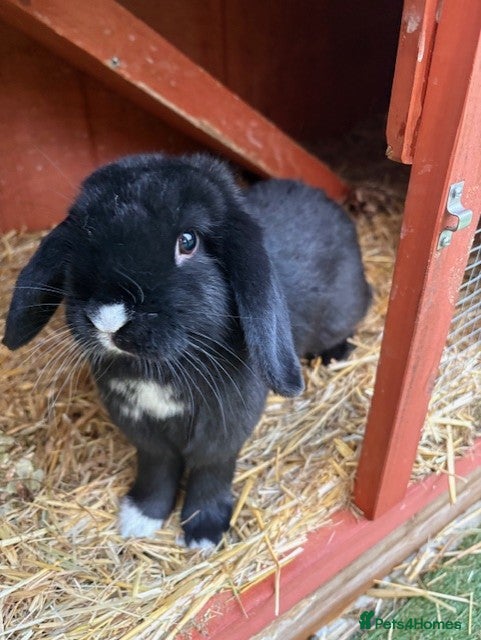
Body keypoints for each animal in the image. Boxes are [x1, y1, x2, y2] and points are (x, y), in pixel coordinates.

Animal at [3, 153, 371, 549]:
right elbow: (157, 467)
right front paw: (141, 517)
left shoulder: (223, 428)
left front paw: (203, 530)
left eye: (188, 241)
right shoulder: (143, 429)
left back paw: (336, 353)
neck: (157, 369)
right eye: (83, 233)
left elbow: (211, 470)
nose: (107, 318)